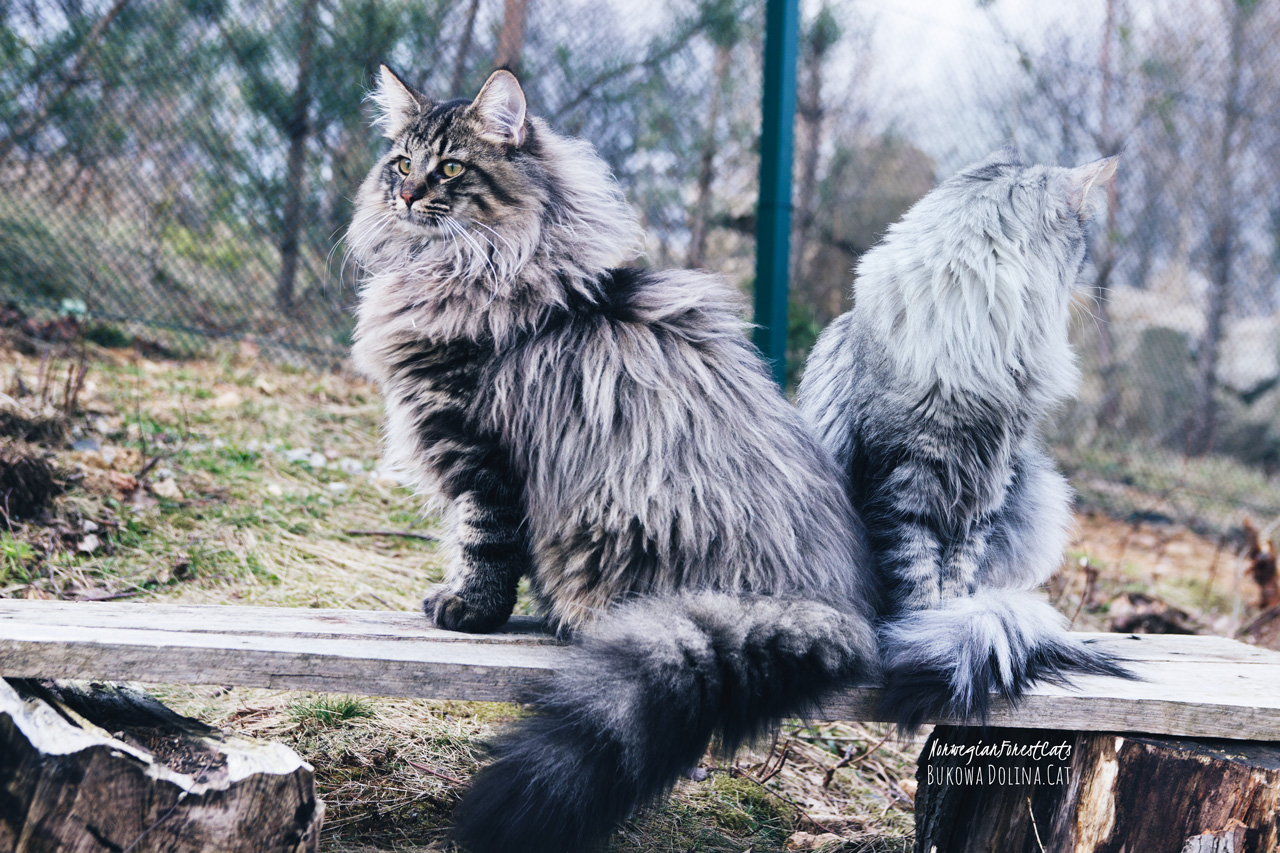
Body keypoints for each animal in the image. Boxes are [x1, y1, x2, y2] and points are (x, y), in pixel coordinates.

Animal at [347, 66, 880, 853]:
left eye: (450, 170)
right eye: (401, 163)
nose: (407, 196)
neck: (465, 267)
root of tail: (833, 606)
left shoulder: (482, 455)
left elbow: (482, 544)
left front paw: (469, 610)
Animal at [797, 148, 1133, 732]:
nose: (1086, 278)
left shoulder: (986, 486)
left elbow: (957, 574)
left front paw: (948, 625)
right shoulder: (901, 483)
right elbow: (915, 576)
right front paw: (920, 633)